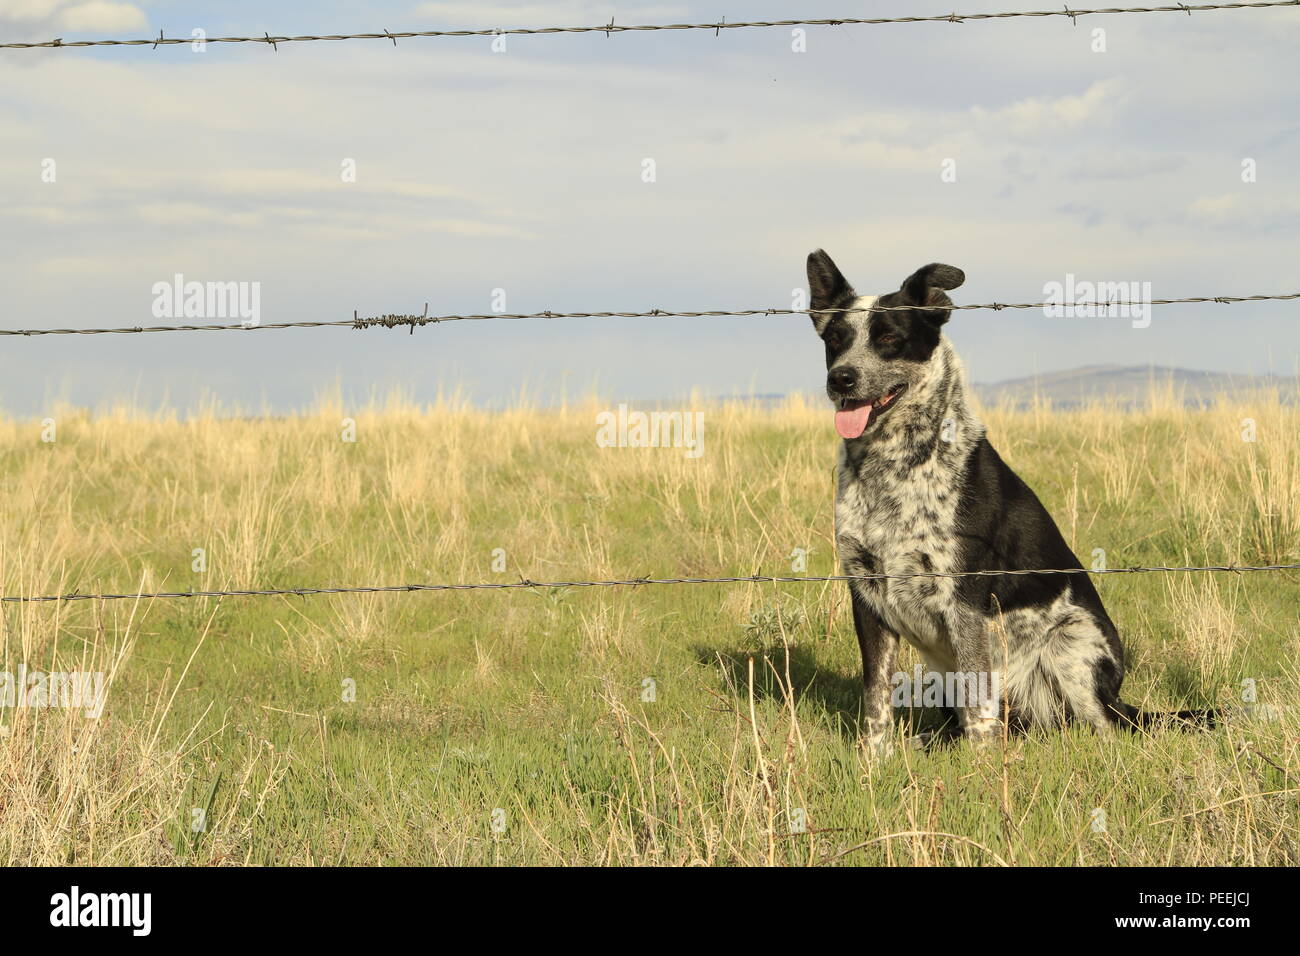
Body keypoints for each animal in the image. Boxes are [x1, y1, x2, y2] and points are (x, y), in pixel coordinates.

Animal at [806, 251, 1211, 749]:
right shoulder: (866, 592)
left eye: (888, 338)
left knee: (1106, 726)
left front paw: (978, 766)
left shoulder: (962, 599)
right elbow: (877, 698)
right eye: (835, 340)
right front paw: (875, 759)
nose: (841, 378)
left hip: (1071, 646)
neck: (892, 466)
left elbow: (977, 706)